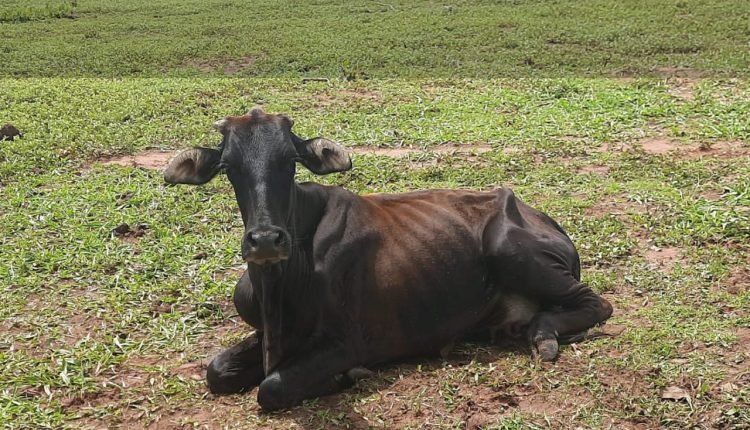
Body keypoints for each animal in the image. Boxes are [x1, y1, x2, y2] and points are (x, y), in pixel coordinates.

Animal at [162, 106, 612, 410]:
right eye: (228, 166)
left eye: (290, 161)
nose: (266, 240)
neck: (279, 286)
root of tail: (543, 217)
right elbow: (217, 371)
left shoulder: (349, 342)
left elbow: (271, 388)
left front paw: (349, 376)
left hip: (510, 247)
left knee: (598, 304)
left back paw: (543, 335)